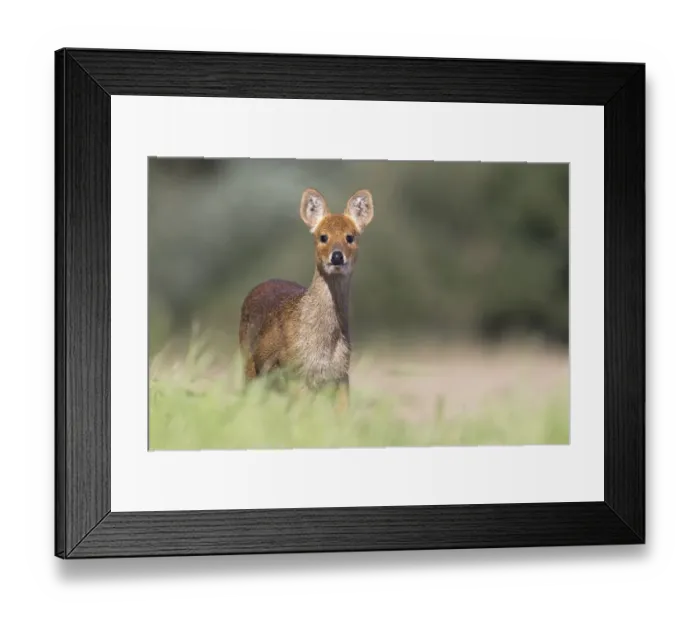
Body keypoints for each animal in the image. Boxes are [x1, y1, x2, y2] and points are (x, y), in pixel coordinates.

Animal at [238, 187, 374, 411]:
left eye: (350, 237)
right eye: (323, 236)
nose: (337, 256)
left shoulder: (341, 375)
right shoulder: (296, 372)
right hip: (250, 365)